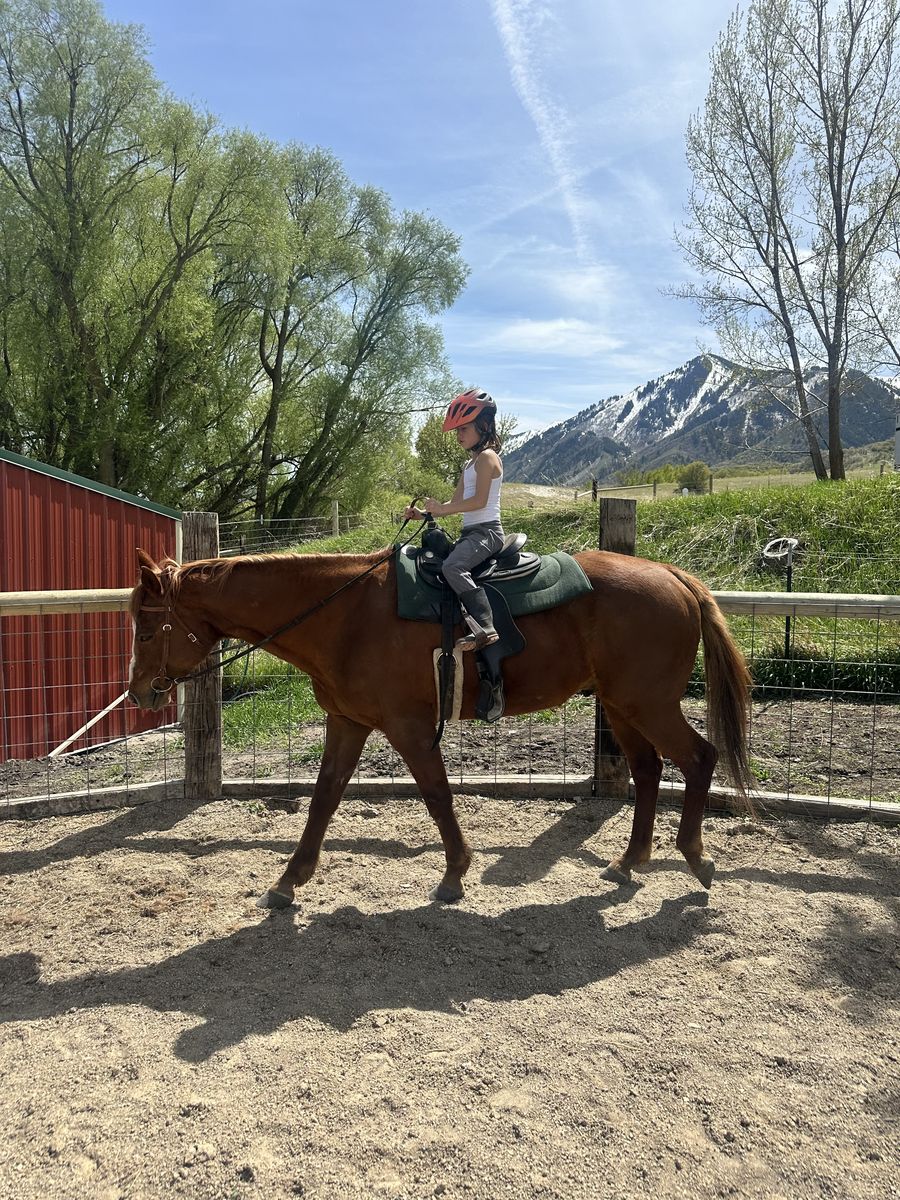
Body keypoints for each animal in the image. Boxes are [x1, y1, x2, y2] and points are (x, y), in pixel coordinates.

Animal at [126, 545, 753, 908]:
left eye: (147, 627)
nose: (140, 693)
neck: (345, 614)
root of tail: (673, 576)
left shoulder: (406, 726)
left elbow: (436, 795)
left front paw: (455, 873)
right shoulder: (347, 722)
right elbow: (324, 797)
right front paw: (289, 880)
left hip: (649, 704)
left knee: (698, 758)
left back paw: (695, 858)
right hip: (622, 706)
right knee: (647, 771)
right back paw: (630, 861)